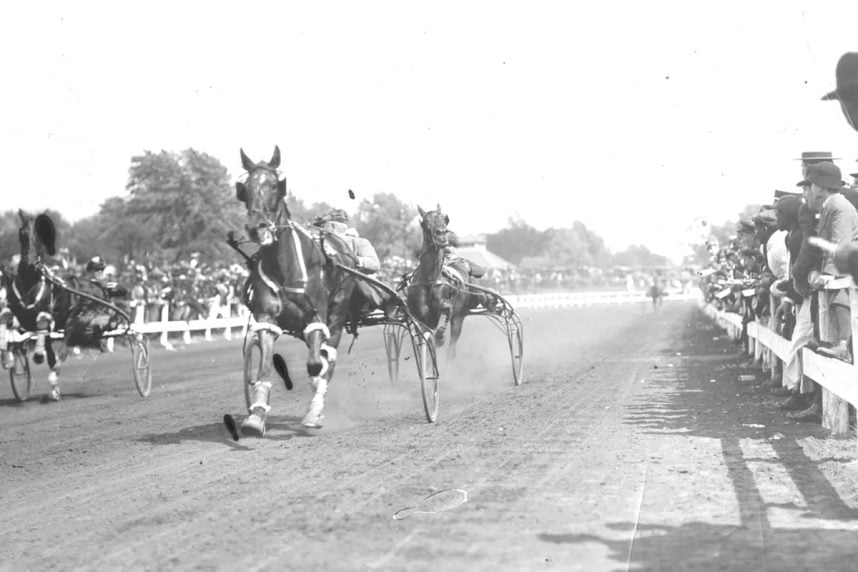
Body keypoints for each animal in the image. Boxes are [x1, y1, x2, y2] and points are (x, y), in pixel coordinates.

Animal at [231, 146, 358, 434]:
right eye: (245, 188)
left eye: (275, 186)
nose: (257, 227)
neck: (283, 265)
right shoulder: (267, 318)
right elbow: (264, 368)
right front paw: (256, 416)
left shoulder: (317, 316)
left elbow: (316, 364)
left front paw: (313, 411)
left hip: (337, 314)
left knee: (327, 358)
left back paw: (315, 410)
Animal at [402, 204, 478, 358]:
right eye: (425, 222)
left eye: (445, 220)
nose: (442, 234)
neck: (429, 280)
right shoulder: (420, 317)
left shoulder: (446, 305)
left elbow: (446, 308)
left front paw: (440, 337)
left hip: (459, 318)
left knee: (452, 348)